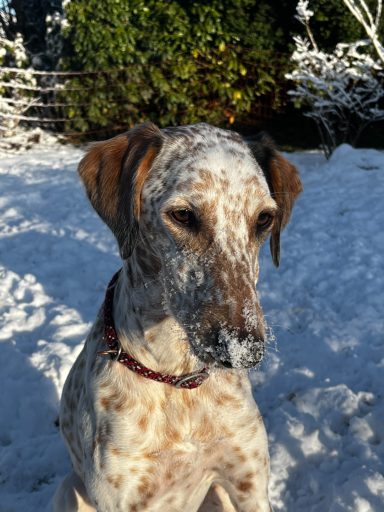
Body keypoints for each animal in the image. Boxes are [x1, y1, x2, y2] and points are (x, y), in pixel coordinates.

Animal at [52, 122, 302, 510]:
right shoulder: (121, 495)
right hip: (68, 489)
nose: (244, 350)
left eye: (264, 219)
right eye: (183, 215)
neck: (177, 380)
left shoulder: (250, 484)